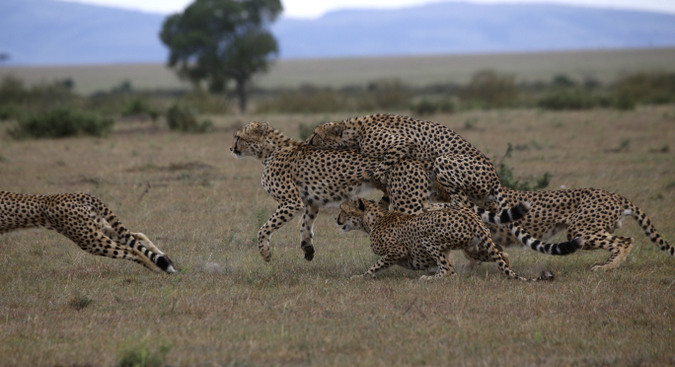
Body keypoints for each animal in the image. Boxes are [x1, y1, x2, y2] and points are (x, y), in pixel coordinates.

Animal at [0, 193, 177, 274]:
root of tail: (76, 194)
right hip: (97, 229)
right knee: (138, 236)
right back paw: (165, 259)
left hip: (89, 239)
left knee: (132, 250)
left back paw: (159, 270)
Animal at [338, 198, 556, 282]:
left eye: (343, 210)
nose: (336, 219)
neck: (372, 220)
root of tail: (471, 215)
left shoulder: (397, 250)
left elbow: (377, 265)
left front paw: (360, 276)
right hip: (475, 245)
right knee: (502, 254)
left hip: (428, 239)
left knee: (450, 272)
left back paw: (429, 278)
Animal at [486, 188, 672, 272]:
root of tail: (614, 194)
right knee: (623, 241)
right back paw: (605, 263)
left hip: (579, 231)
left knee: (625, 241)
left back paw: (605, 267)